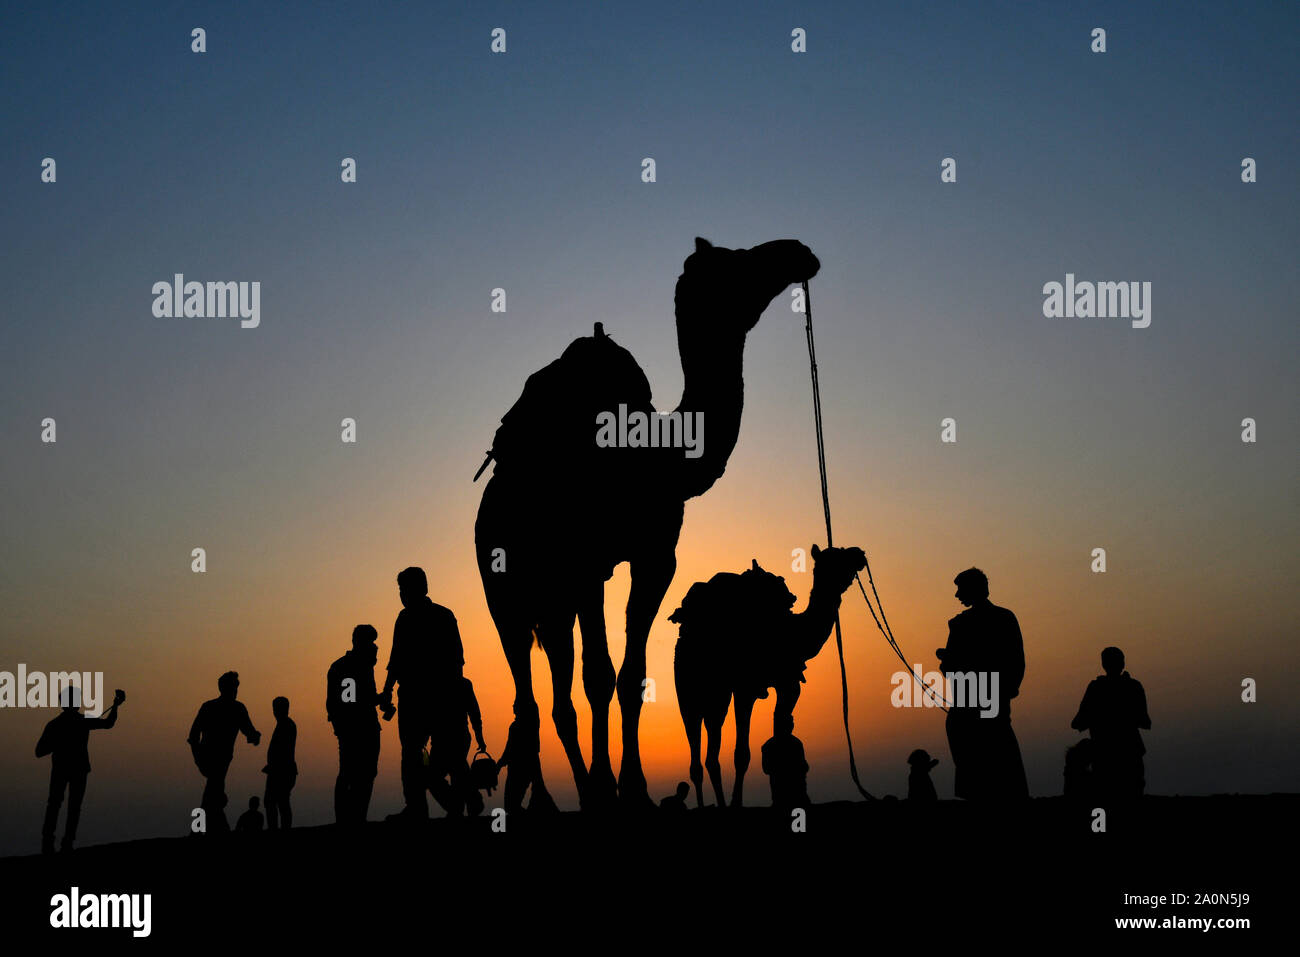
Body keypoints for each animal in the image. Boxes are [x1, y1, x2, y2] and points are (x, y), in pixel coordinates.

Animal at [473, 237, 816, 806]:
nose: (798, 252)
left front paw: (631, 790)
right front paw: (609, 790)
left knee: (556, 694)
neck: (655, 455)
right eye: (737, 261)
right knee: (526, 691)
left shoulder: (656, 557)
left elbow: (631, 675)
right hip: (501, 587)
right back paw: (553, 800)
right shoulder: (586, 562)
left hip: (553, 603)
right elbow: (599, 675)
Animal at [670, 540, 863, 806]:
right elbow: (742, 754)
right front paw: (737, 803)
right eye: (837, 557)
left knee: (710, 753)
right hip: (687, 691)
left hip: (715, 696)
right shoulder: (745, 688)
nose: (860, 554)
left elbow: (781, 723)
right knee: (697, 754)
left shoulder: (788, 683)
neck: (792, 634)